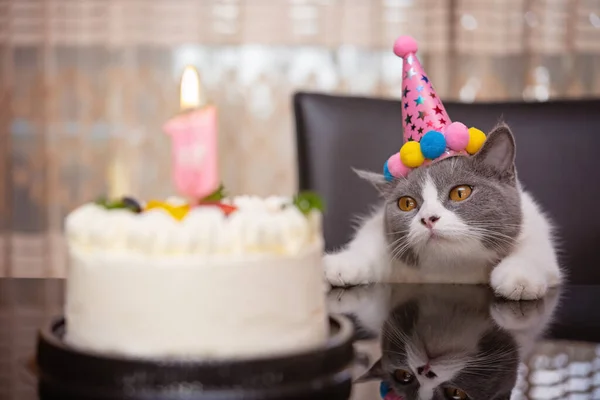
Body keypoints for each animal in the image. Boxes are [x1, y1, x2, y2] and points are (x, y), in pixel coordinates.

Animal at [324, 125, 564, 300]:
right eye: (406, 203)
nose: (428, 219)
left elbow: (534, 252)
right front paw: (341, 266)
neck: (454, 270)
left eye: (460, 193)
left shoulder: (534, 227)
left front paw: (519, 279)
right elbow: (370, 241)